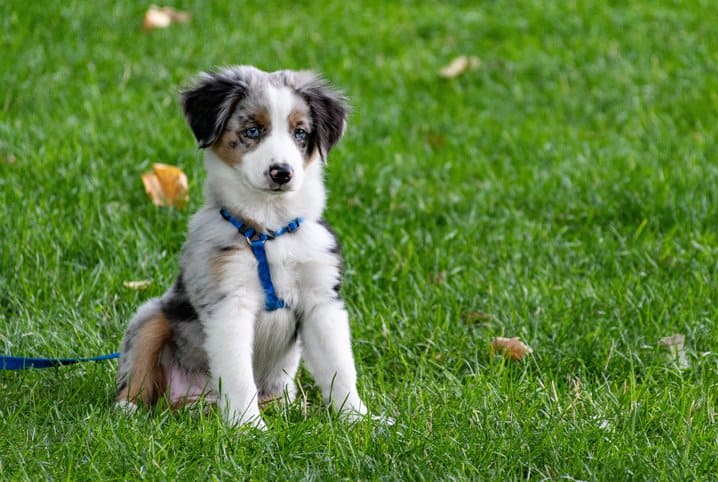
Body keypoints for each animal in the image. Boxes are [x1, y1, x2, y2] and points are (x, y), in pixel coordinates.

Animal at [115, 65, 374, 430]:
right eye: (253, 130)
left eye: (300, 133)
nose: (281, 172)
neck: (270, 229)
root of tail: (191, 402)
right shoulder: (228, 304)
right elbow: (238, 375)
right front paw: (249, 429)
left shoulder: (321, 301)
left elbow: (339, 368)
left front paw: (360, 420)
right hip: (152, 316)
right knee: (138, 368)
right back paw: (129, 409)